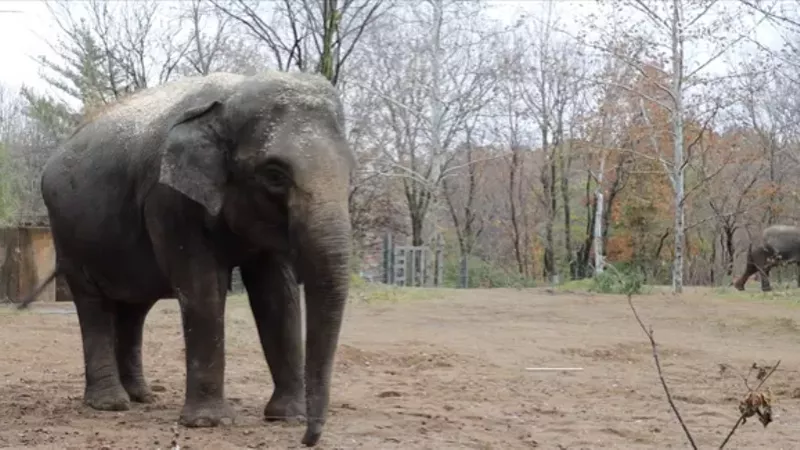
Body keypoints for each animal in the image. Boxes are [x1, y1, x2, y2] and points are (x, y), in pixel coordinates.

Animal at [14, 71, 354, 446]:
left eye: (350, 171)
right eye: (275, 175)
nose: (308, 439)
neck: (231, 97)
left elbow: (277, 295)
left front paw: (286, 417)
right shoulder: (168, 199)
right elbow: (201, 287)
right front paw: (209, 423)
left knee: (134, 308)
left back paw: (142, 397)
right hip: (68, 234)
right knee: (93, 303)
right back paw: (111, 404)